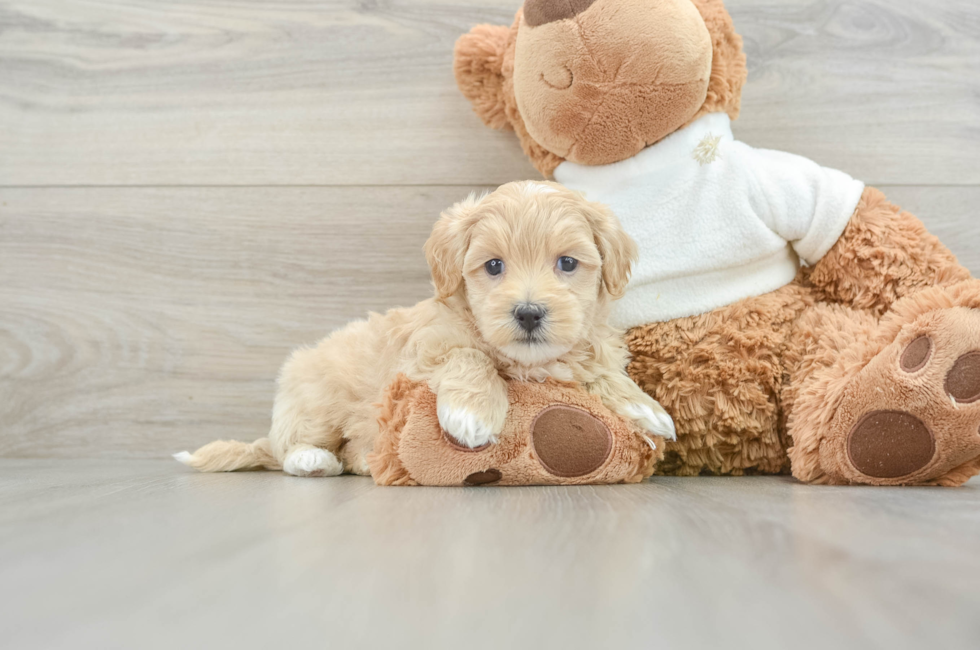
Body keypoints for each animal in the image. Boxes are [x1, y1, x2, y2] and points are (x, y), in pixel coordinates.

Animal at [176, 180, 672, 474]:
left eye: (567, 263)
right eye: (494, 266)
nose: (529, 313)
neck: (525, 363)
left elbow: (598, 368)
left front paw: (644, 406)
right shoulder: (423, 350)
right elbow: (467, 355)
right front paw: (473, 414)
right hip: (315, 398)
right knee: (287, 449)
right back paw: (313, 459)